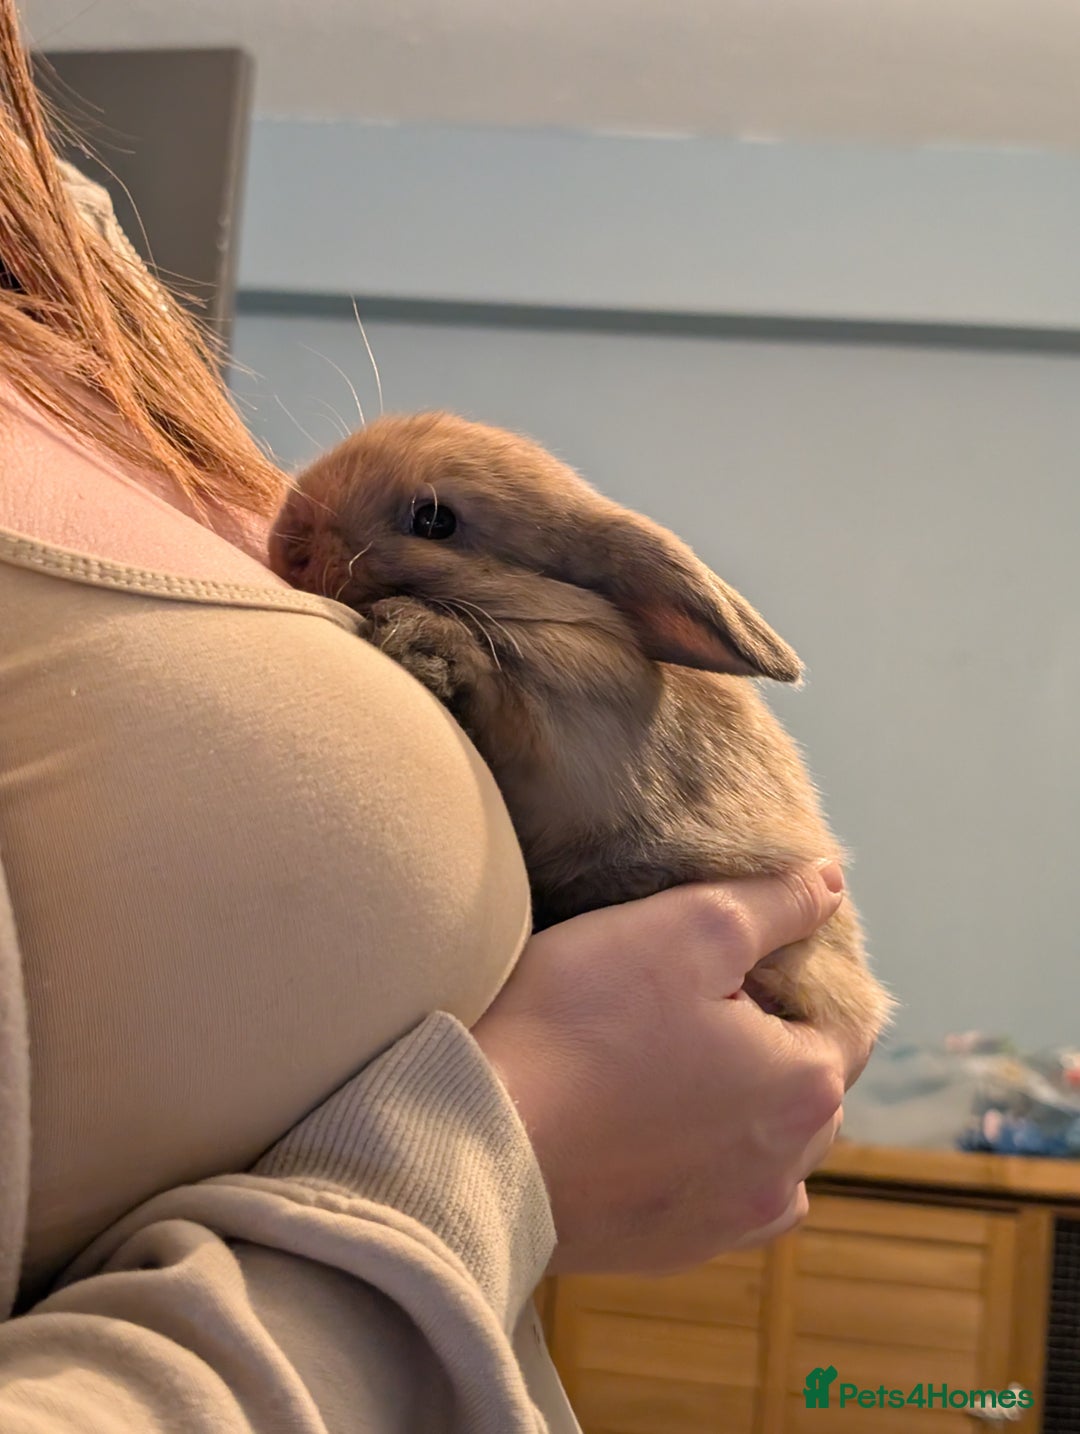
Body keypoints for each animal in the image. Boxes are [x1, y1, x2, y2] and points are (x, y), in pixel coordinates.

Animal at [269, 411, 893, 1044]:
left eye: (434, 520)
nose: (287, 539)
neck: (539, 611)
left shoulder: (564, 743)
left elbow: (502, 698)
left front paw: (418, 639)